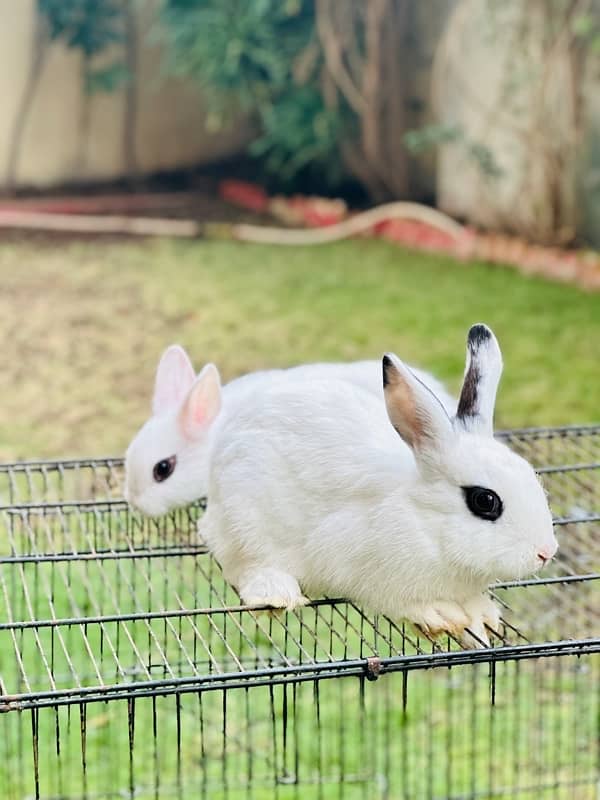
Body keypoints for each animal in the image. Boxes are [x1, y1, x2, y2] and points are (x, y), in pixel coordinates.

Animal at [200, 324, 556, 648]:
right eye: (485, 500)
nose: (546, 552)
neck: (423, 523)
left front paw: (482, 621)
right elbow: (401, 601)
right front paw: (439, 614)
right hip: (245, 524)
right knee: (244, 566)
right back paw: (276, 594)